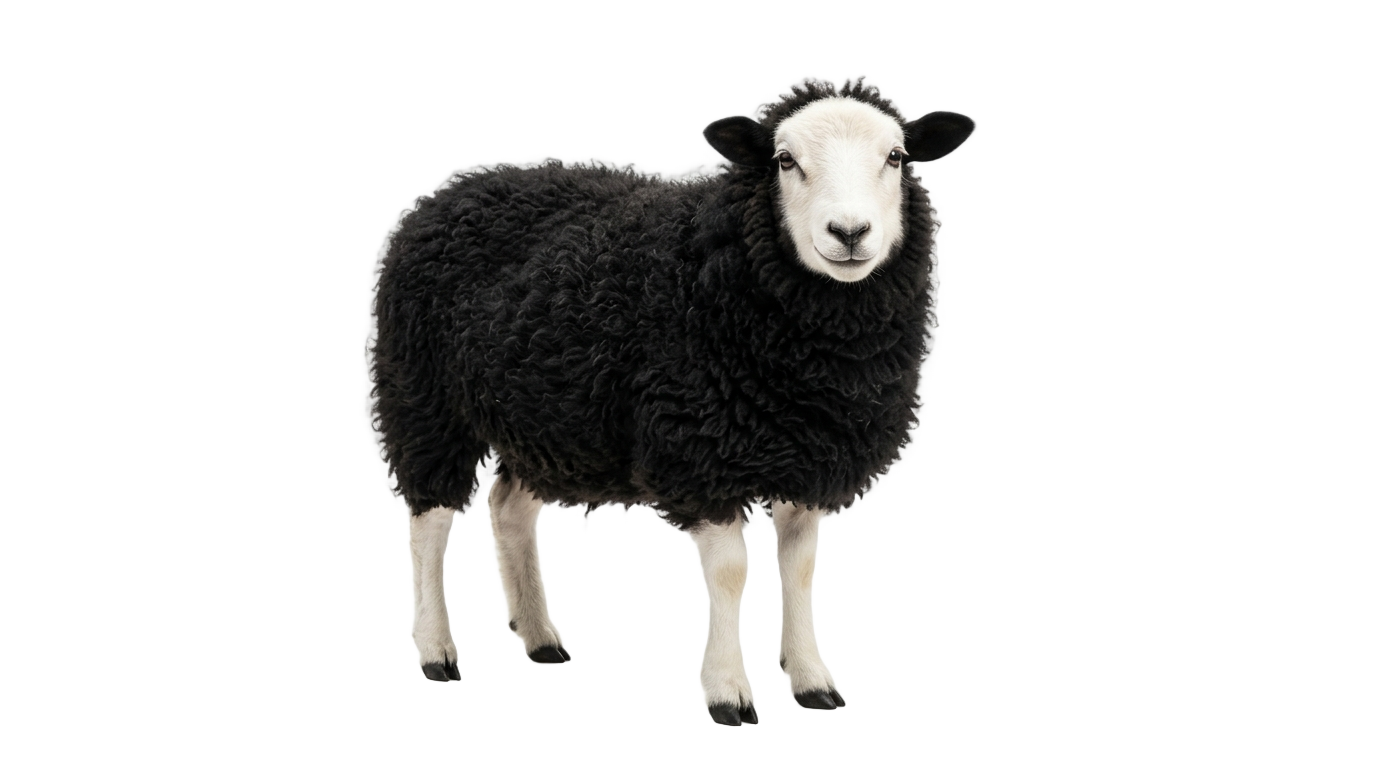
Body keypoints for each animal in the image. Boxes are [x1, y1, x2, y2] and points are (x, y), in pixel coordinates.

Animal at [369, 80, 973, 726]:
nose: (850, 232)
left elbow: (801, 568)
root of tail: (452, 190)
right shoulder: (701, 453)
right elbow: (729, 575)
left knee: (508, 510)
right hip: (423, 397)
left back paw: (540, 640)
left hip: (539, 419)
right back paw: (437, 654)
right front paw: (727, 696)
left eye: (896, 157)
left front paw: (812, 683)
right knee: (427, 524)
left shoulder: (809, 458)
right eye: (784, 161)